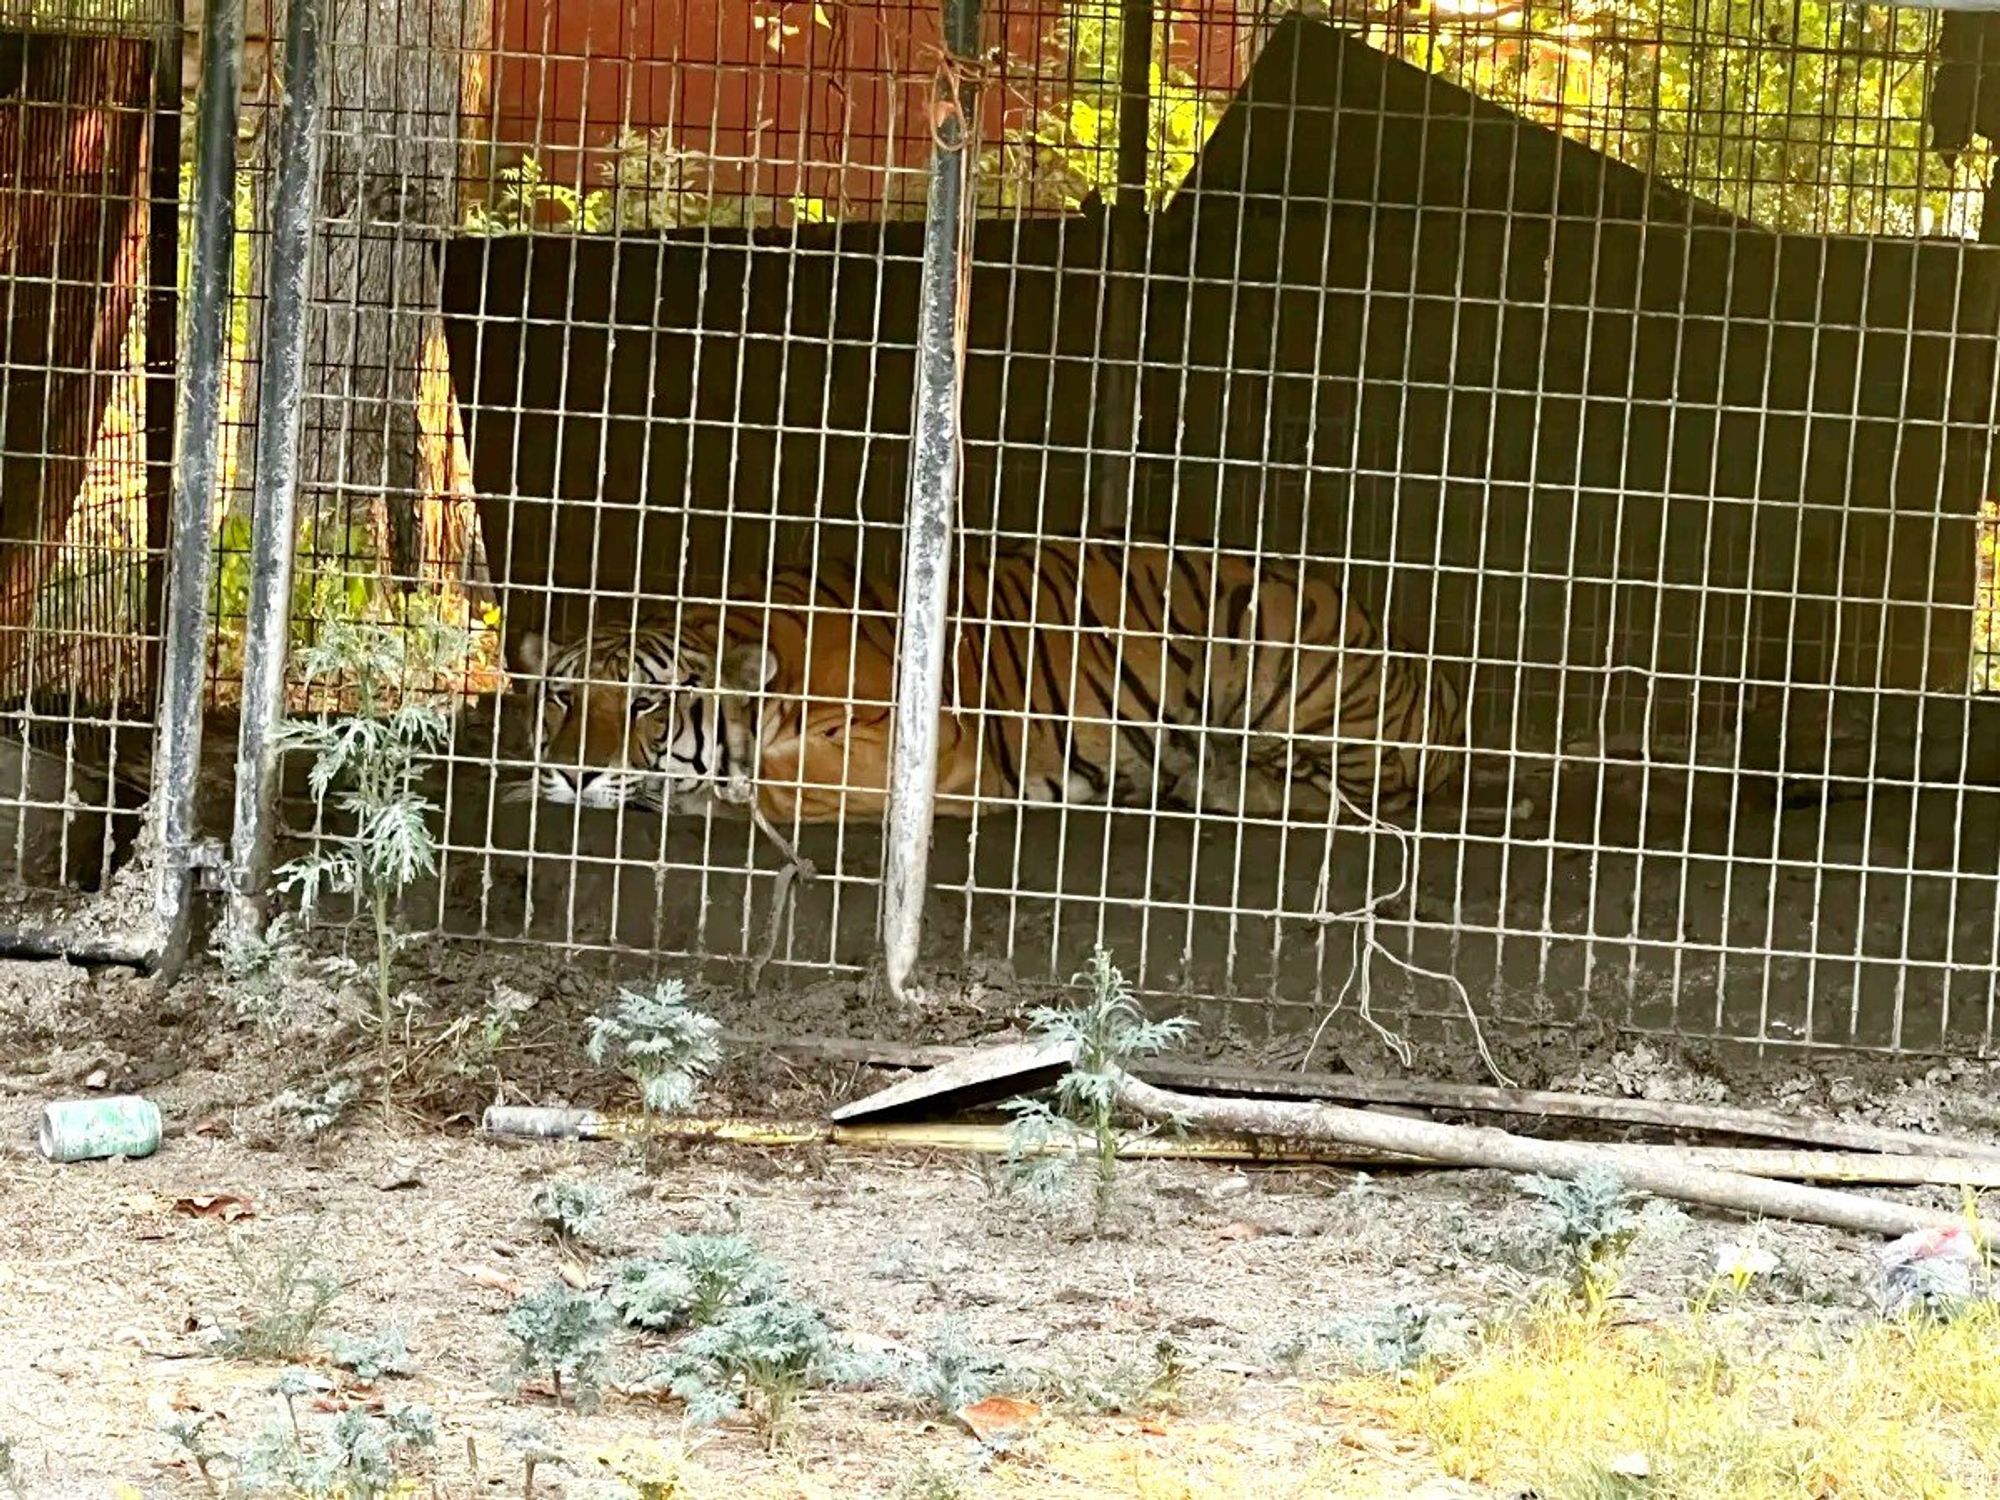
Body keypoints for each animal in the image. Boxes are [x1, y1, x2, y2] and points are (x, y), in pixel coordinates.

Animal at [513, 539, 1467, 830]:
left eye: (645, 702)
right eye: (563, 695)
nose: (573, 771)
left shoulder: (923, 741)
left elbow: (784, 779)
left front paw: (705, 792)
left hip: (1271, 628)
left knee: (1353, 797)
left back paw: (1205, 780)